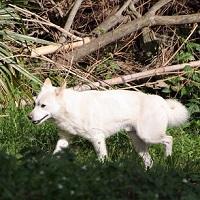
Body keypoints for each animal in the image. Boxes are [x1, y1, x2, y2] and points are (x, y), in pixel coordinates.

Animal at [28, 78, 189, 169]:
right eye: (35, 104)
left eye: (43, 106)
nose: (29, 117)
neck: (70, 107)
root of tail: (162, 102)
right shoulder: (64, 138)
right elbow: (55, 154)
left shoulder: (97, 138)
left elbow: (102, 159)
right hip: (138, 142)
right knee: (149, 161)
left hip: (149, 135)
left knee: (169, 139)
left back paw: (168, 160)